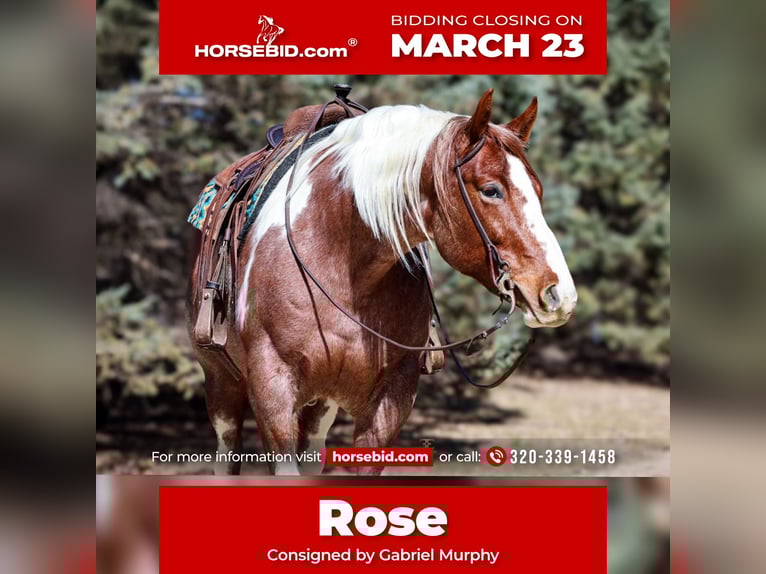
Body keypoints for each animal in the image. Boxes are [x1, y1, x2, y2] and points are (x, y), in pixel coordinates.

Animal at [187, 89, 577, 475]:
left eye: (539, 190)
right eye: (491, 190)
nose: (559, 294)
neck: (342, 265)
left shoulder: (390, 402)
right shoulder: (273, 393)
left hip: (320, 404)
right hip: (221, 384)